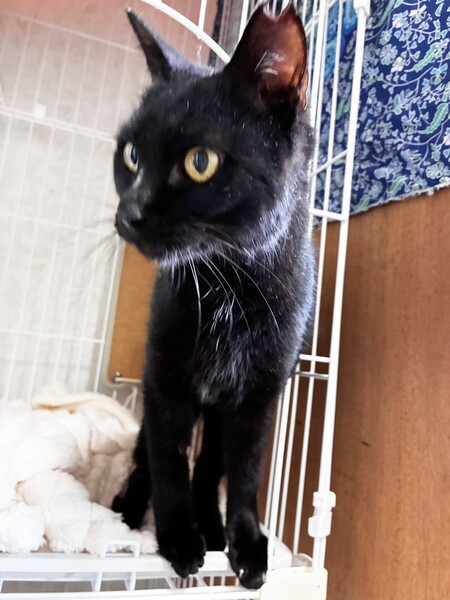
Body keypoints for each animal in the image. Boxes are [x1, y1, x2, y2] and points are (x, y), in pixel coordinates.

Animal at [112, 3, 315, 590]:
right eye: (131, 156)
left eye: (200, 162)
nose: (128, 213)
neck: (231, 286)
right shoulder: (165, 379)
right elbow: (167, 460)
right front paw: (178, 538)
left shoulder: (259, 396)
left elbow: (244, 472)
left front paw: (245, 542)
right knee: (147, 457)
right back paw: (130, 509)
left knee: (211, 467)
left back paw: (214, 525)